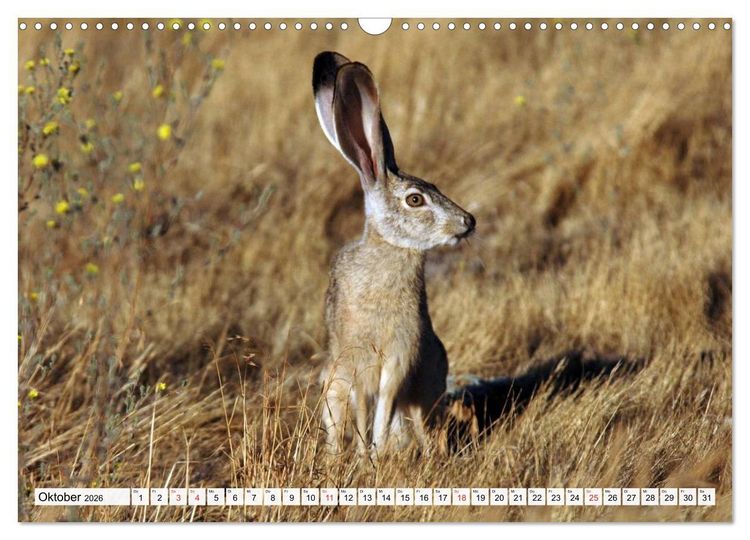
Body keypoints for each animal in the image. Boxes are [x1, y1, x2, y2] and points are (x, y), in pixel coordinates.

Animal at [313, 51, 476, 459]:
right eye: (415, 200)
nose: (468, 222)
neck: (390, 247)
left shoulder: (402, 356)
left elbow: (385, 403)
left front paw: (376, 452)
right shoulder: (357, 360)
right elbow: (364, 406)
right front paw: (364, 456)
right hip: (332, 384)